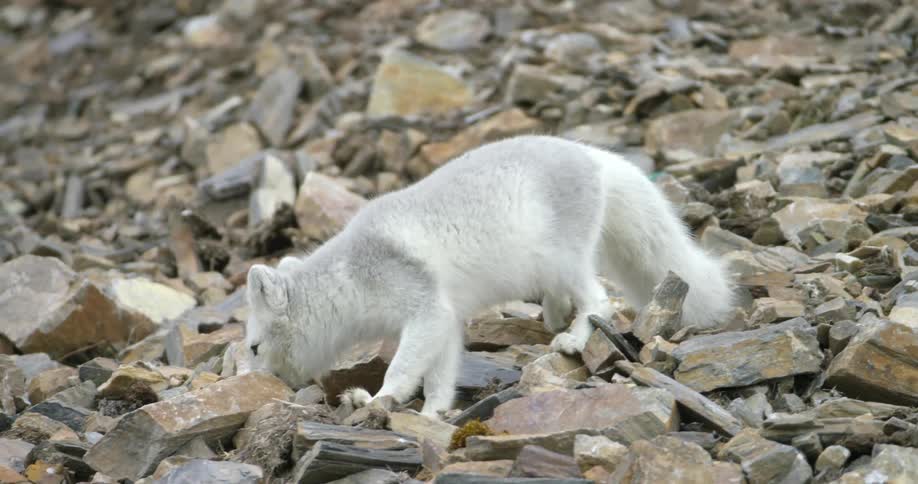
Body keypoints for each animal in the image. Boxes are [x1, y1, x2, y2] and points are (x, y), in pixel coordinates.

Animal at [244, 135, 733, 417]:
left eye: (252, 347)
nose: (262, 386)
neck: (349, 279)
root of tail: (593, 154)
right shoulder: (444, 322)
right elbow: (439, 378)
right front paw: (431, 417)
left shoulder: (426, 312)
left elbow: (403, 368)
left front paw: (380, 400)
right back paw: (554, 315)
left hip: (560, 257)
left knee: (600, 300)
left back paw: (572, 339)